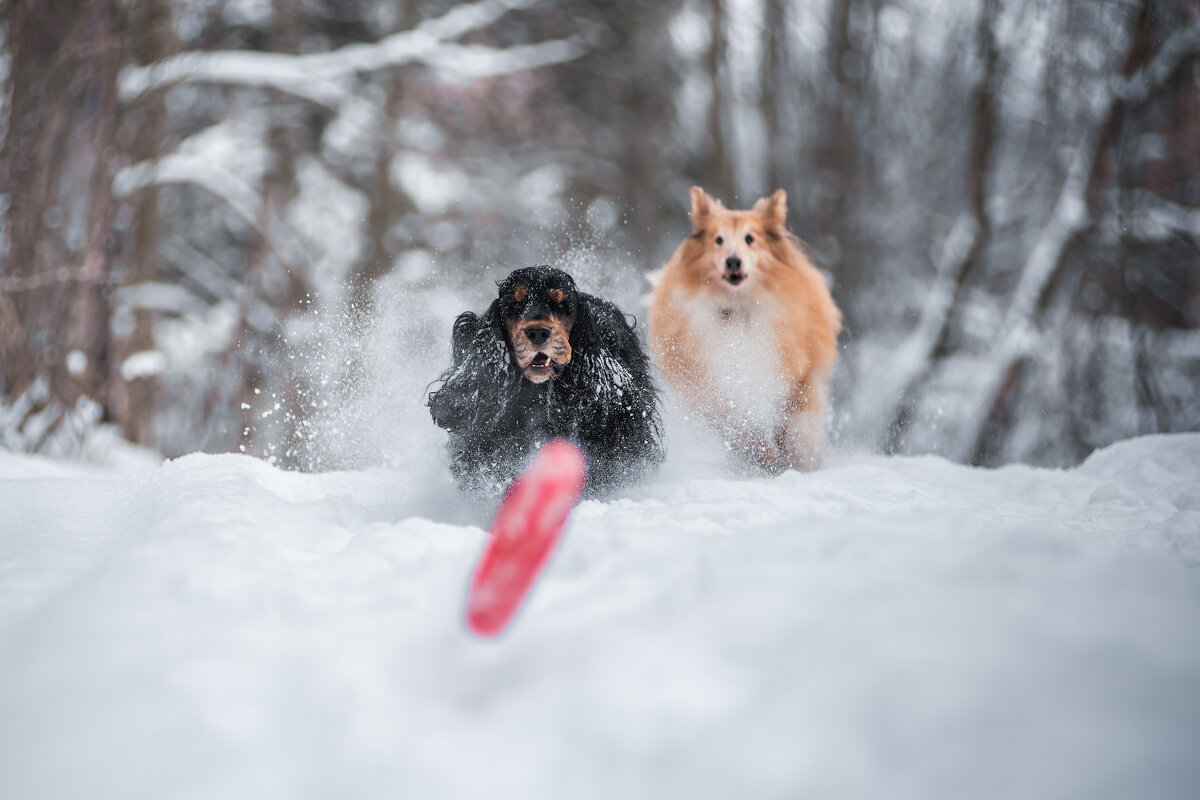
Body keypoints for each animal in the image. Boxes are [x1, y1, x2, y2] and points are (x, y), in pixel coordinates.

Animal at [652, 185, 840, 474]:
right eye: (718, 240)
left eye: (750, 239)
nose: (733, 261)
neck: (739, 309)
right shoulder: (712, 384)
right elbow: (737, 424)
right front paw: (763, 456)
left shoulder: (797, 371)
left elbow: (792, 420)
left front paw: (791, 459)